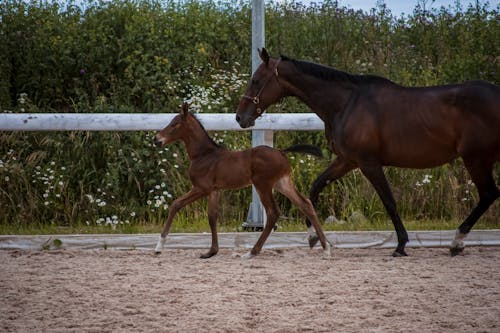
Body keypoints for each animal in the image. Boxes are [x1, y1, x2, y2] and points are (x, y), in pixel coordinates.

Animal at [152, 102, 332, 258]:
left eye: (174, 124)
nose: (157, 140)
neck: (203, 155)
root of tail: (281, 152)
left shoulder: (201, 188)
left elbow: (175, 205)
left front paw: (159, 247)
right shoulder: (214, 190)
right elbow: (212, 217)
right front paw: (211, 252)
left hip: (263, 185)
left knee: (273, 212)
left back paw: (252, 252)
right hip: (282, 183)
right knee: (306, 204)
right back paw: (325, 248)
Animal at [235, 48, 500, 256]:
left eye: (256, 80)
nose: (240, 117)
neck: (346, 103)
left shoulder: (368, 163)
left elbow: (389, 201)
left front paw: (401, 245)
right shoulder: (348, 160)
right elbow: (315, 187)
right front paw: (312, 235)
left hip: (475, 158)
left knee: (488, 194)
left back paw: (457, 241)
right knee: (489, 194)